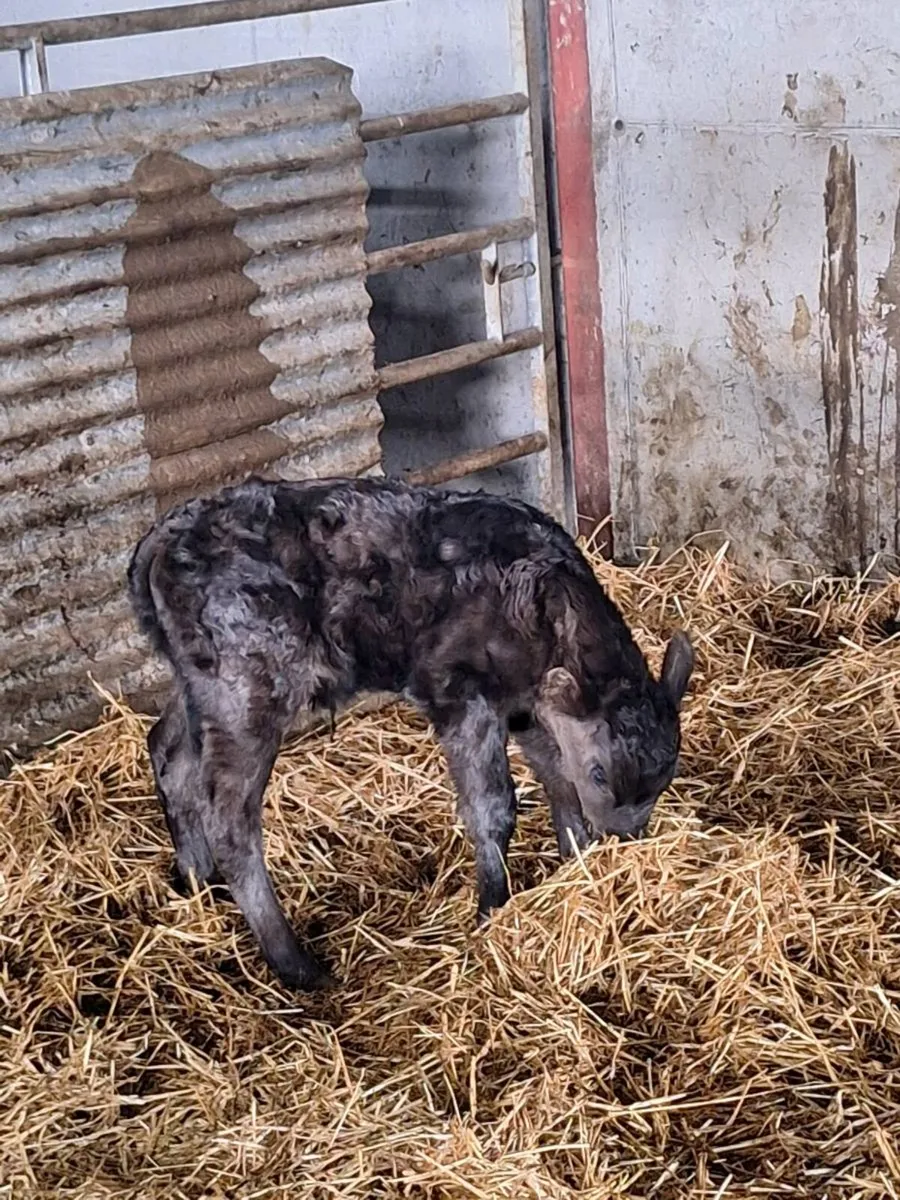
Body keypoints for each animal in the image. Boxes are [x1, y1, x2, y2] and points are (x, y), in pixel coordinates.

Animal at [127, 476, 693, 990]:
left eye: (661, 783)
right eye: (600, 773)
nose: (623, 844)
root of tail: (163, 537)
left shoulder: (527, 707)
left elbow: (556, 779)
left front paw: (573, 864)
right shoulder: (461, 694)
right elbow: (493, 806)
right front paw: (492, 908)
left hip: (197, 682)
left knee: (170, 752)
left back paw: (195, 880)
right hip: (247, 692)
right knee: (230, 818)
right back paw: (297, 966)